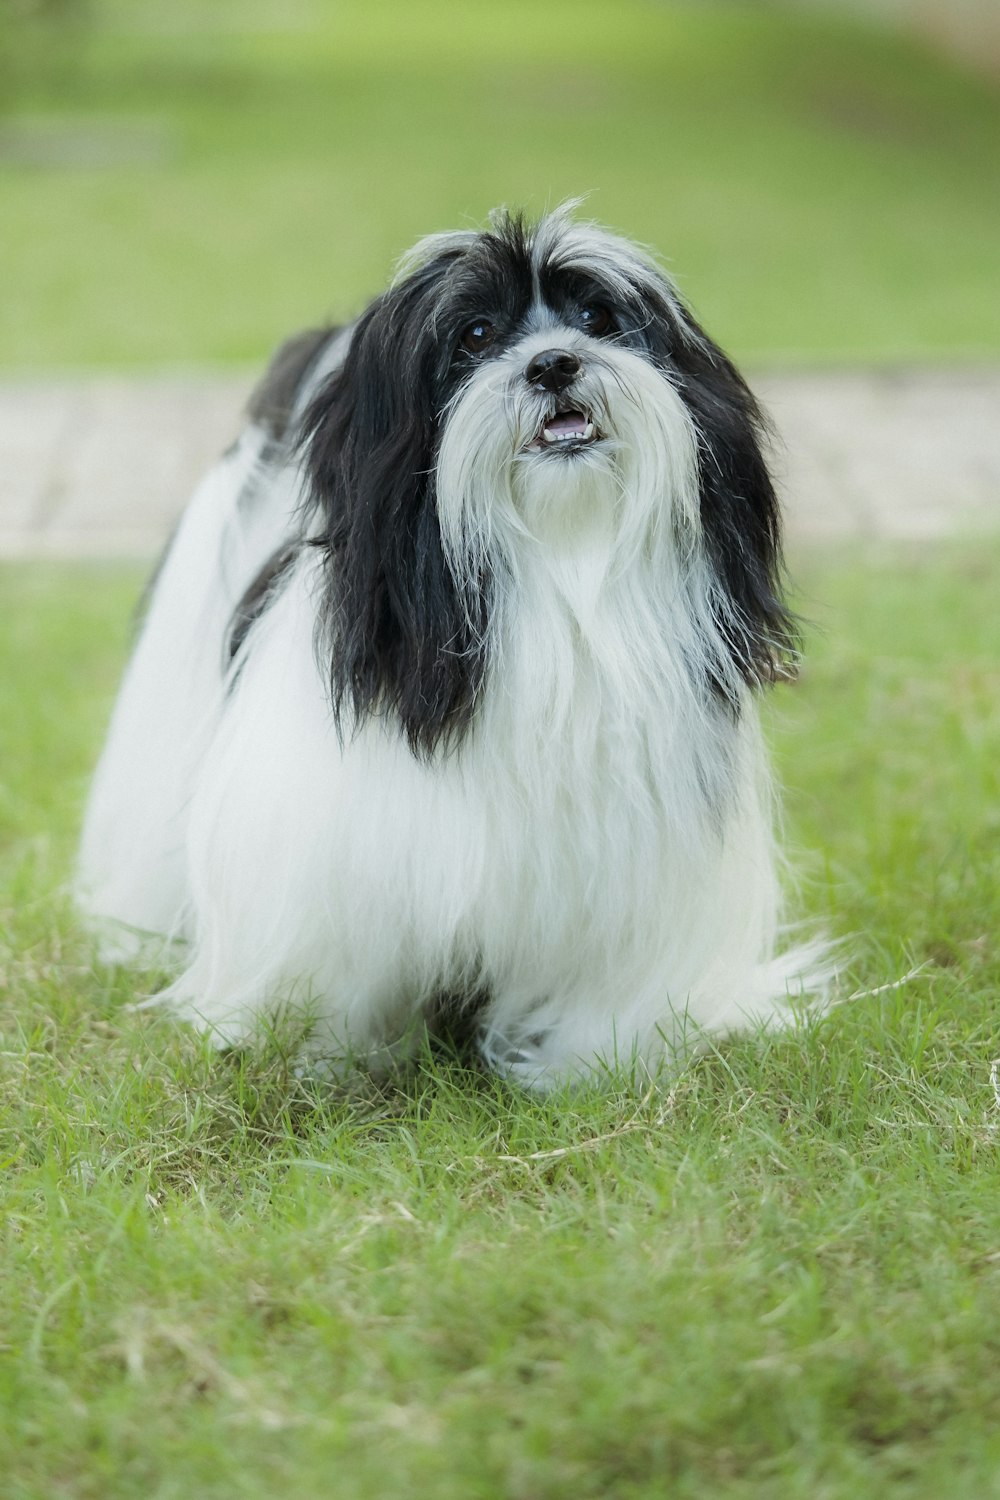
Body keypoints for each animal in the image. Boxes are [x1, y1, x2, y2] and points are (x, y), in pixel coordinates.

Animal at [78, 205, 827, 1086]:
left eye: (596, 318)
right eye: (475, 335)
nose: (554, 364)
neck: (553, 571)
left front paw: (587, 1066)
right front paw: (323, 1056)